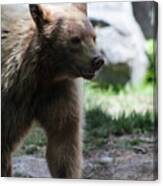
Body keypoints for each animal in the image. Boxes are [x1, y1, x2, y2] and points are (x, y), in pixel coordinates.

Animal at [1, 3, 104, 178]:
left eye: (93, 37)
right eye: (75, 39)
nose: (97, 60)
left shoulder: (58, 92)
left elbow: (64, 145)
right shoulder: (11, 99)